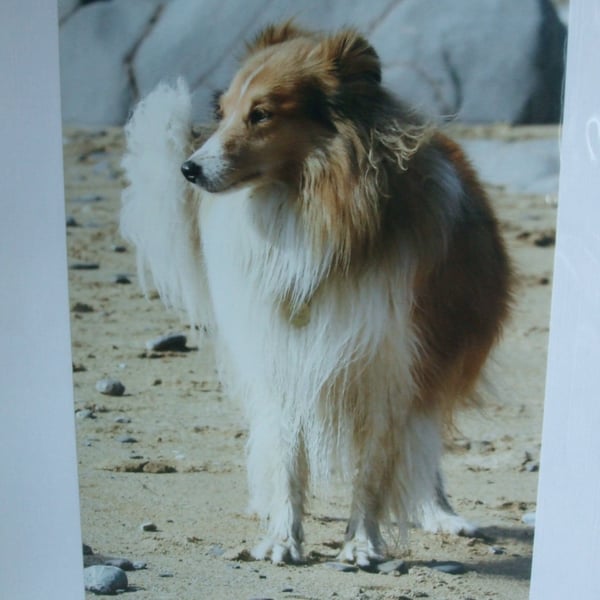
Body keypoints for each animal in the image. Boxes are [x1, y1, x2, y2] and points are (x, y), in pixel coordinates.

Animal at [120, 23, 510, 568]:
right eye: (222, 110)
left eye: (261, 113)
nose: (189, 170)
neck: (312, 207)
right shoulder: (283, 356)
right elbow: (287, 458)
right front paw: (283, 538)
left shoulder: (391, 364)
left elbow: (374, 467)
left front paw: (361, 543)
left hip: (439, 358)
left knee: (423, 446)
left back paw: (439, 513)